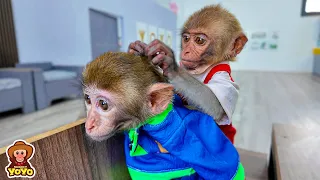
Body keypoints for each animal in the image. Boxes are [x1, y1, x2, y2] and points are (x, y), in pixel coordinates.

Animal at [127, 4, 248, 145]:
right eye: (186, 39)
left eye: (199, 40)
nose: (186, 51)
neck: (200, 70)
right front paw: (135, 48)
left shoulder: (224, 76)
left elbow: (216, 106)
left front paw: (172, 67)